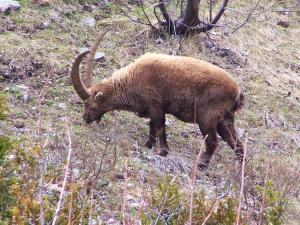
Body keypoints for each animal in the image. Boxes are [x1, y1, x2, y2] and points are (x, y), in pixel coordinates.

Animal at [71, 29, 245, 169]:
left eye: (89, 104)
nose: (85, 118)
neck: (132, 79)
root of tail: (237, 91)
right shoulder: (152, 108)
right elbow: (152, 126)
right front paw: (148, 144)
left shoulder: (155, 105)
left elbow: (160, 127)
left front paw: (162, 151)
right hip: (225, 118)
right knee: (237, 144)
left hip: (207, 118)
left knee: (213, 142)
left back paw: (201, 166)